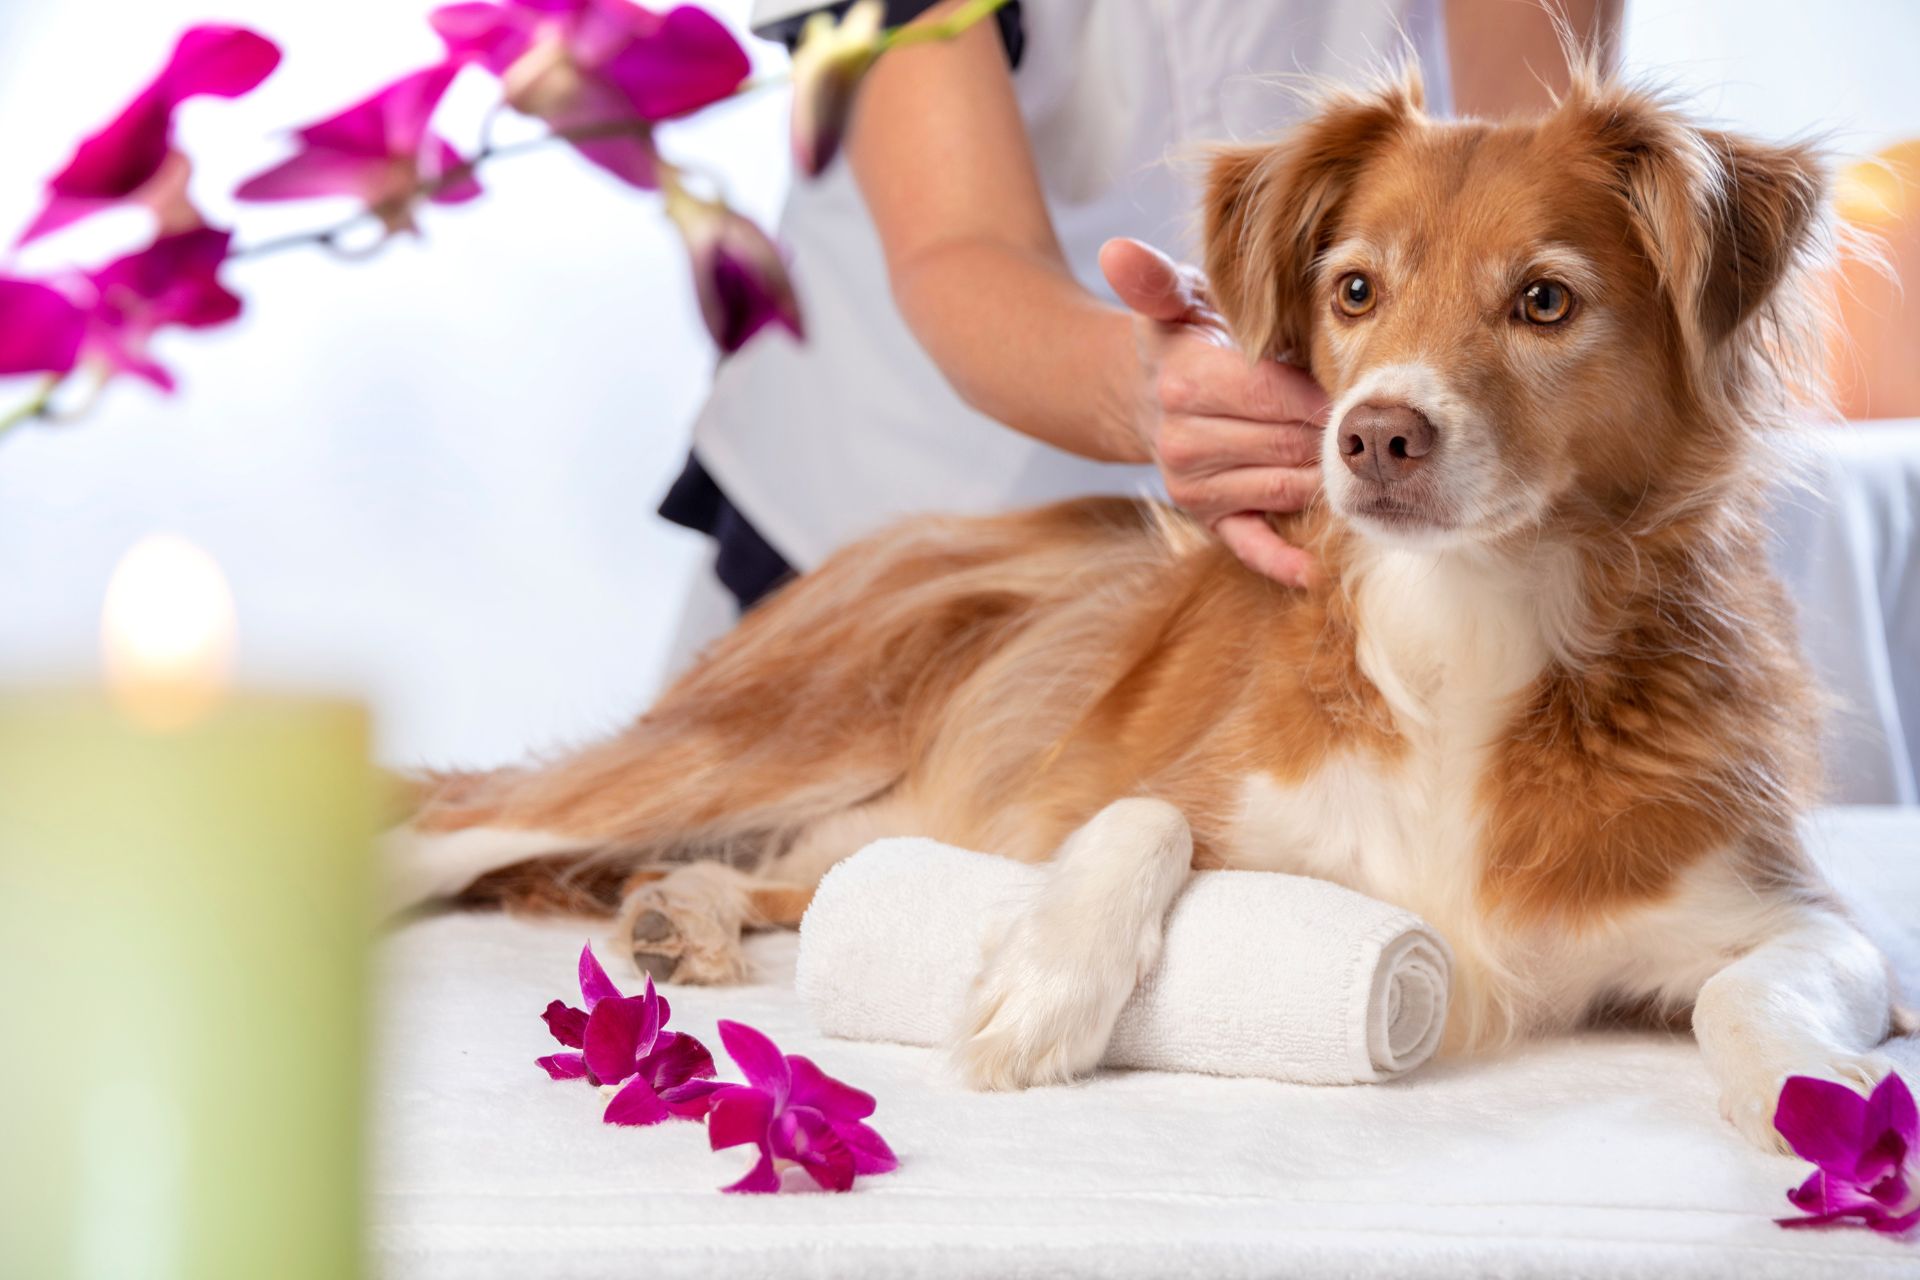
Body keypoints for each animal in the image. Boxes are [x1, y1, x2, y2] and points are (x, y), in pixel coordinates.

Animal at [397, 67, 1912, 1151]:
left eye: (1546, 300)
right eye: (1355, 289)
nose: (1373, 436)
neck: (1466, 623)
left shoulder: (1789, 912)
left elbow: (1755, 988)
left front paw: (1815, 1100)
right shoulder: (1153, 788)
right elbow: (1145, 811)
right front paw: (1042, 987)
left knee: (785, 873)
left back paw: (678, 916)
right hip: (778, 728)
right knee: (452, 817)